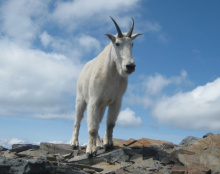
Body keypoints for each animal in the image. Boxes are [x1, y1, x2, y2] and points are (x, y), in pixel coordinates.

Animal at [71, 17, 143, 157]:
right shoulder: (93, 101)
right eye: (117, 44)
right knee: (78, 121)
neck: (112, 74)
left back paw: (99, 143)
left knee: (98, 122)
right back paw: (74, 143)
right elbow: (92, 128)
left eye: (132, 44)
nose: (130, 66)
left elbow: (110, 124)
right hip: (80, 99)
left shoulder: (115, 102)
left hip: (102, 106)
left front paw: (108, 144)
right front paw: (90, 150)